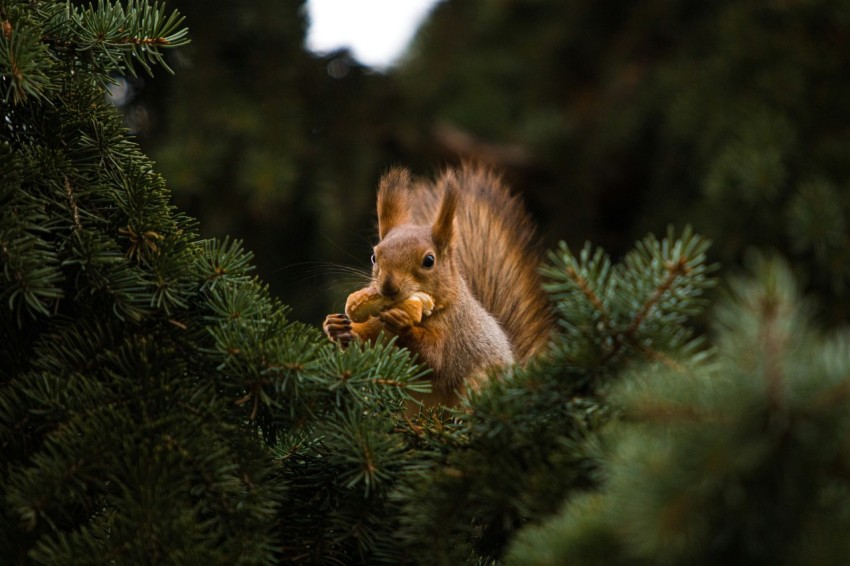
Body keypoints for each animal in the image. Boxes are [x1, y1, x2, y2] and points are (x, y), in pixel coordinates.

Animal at [323, 164, 554, 407]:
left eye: (429, 261)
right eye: (374, 257)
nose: (388, 286)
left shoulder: (453, 330)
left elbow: (434, 357)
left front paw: (403, 324)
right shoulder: (378, 327)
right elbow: (367, 341)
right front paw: (337, 327)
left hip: (478, 384)